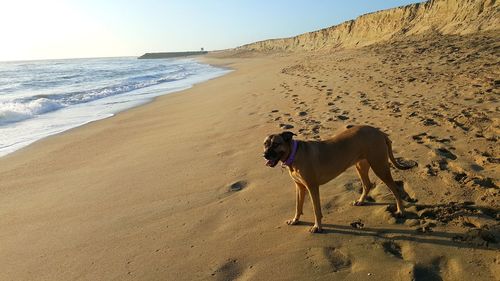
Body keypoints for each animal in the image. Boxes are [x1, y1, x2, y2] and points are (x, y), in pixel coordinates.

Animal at [262, 124, 414, 232]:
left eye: (276, 144)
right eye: (265, 144)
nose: (264, 155)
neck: (294, 154)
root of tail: (380, 132)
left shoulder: (312, 187)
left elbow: (316, 209)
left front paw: (317, 227)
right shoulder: (299, 186)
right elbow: (298, 206)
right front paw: (295, 220)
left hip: (379, 166)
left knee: (394, 188)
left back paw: (401, 211)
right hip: (361, 165)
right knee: (367, 184)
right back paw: (361, 201)